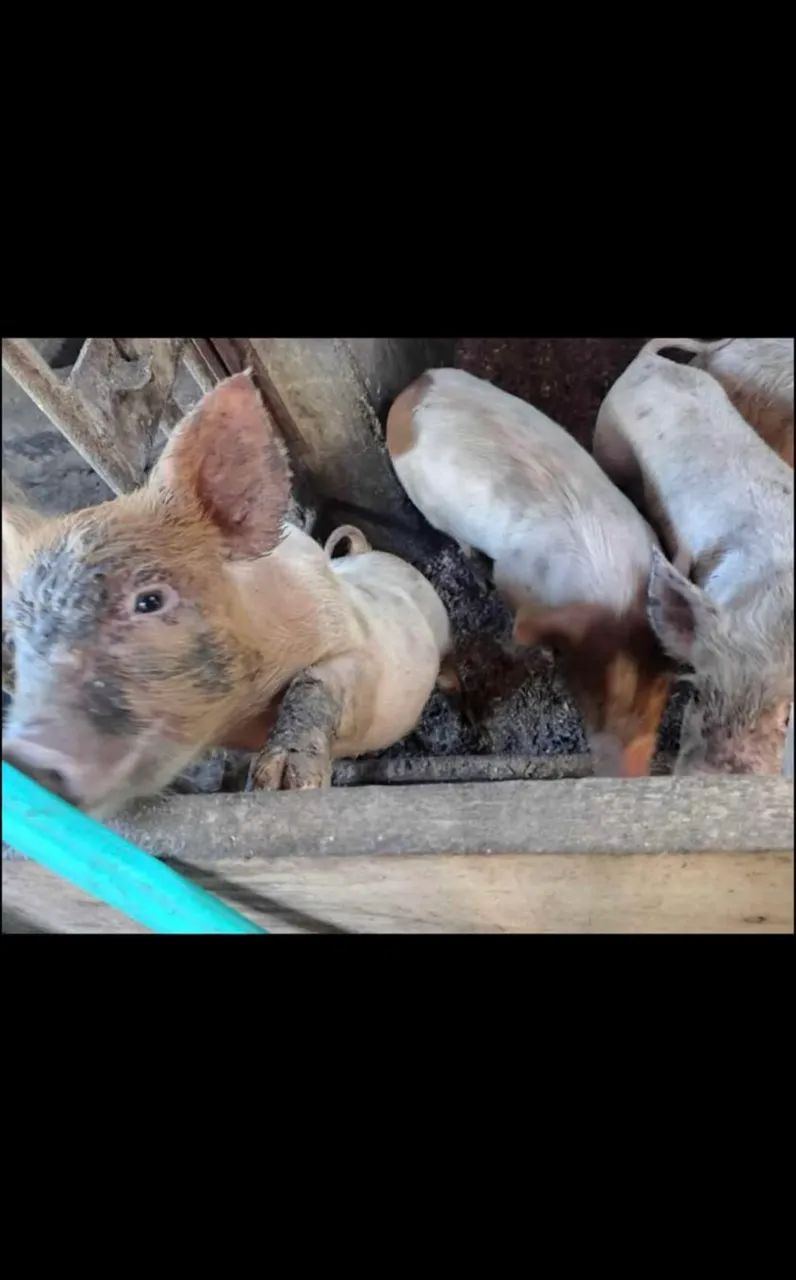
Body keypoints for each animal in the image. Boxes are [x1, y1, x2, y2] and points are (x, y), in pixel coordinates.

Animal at [2, 373, 451, 816]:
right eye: (16, 636)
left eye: (150, 601)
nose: (25, 758)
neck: (244, 718)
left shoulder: (360, 648)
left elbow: (316, 682)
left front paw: (283, 784)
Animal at [386, 367, 673, 777]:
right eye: (588, 699)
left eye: (659, 691)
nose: (622, 774)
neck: (610, 595)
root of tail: (411, 392)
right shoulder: (514, 580)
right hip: (434, 511)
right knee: (462, 543)